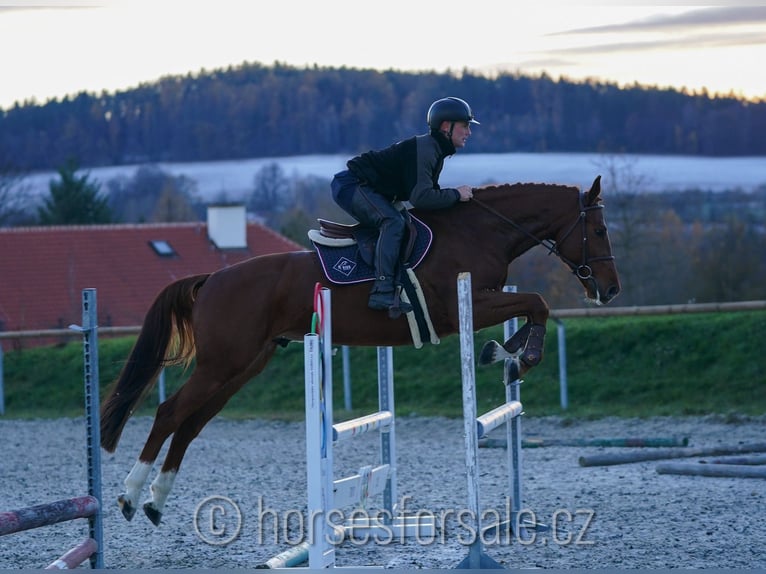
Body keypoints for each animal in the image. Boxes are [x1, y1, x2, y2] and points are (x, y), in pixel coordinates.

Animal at [100, 176, 624, 528]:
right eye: (599, 232)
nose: (611, 289)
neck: (479, 229)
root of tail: (212, 278)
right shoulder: (466, 304)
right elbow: (538, 302)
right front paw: (515, 355)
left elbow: (535, 306)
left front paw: (507, 352)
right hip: (221, 364)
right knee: (170, 413)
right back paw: (130, 496)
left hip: (242, 367)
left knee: (191, 425)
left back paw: (155, 502)